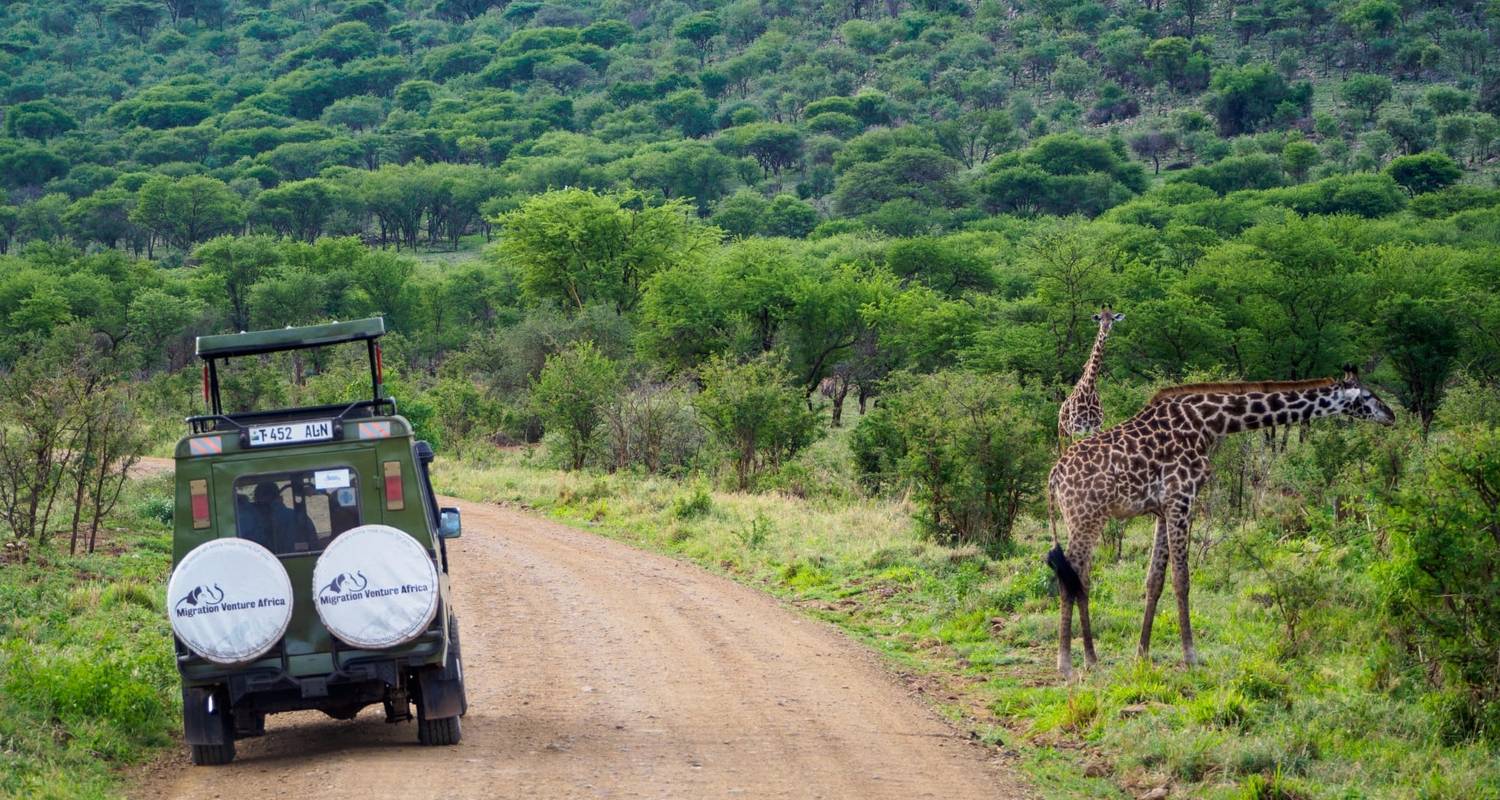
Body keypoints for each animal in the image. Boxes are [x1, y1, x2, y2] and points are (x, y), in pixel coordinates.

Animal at [1044, 366, 1392, 672]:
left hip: (1087, 520)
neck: (1211, 423)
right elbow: (1181, 579)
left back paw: (1091, 659)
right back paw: (1066, 663)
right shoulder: (1182, 499)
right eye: (1368, 395)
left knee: (1080, 577)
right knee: (1069, 576)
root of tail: (1054, 476)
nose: (1391, 415)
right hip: (1085, 518)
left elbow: (1154, 580)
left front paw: (1141, 654)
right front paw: (1191, 656)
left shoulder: (1162, 509)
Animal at [1056, 306, 1128, 444]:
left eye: (1112, 319)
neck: (1088, 390)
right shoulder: (1077, 429)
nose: (1105, 329)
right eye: (1100, 319)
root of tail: (1060, 409)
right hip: (1063, 433)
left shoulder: (1096, 427)